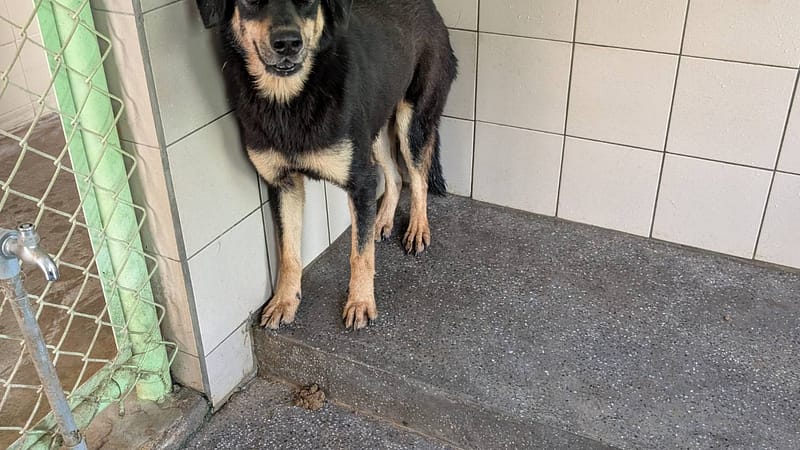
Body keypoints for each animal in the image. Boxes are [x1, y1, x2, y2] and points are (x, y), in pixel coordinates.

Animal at [195, 0, 457, 330]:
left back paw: (417, 228)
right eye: (251, 1)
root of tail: (431, 8)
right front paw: (285, 301)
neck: (289, 98)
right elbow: (289, 253)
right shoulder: (283, 185)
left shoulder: (360, 182)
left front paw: (360, 302)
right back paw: (382, 220)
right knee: (396, 176)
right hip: (373, 131)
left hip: (412, 120)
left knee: (418, 177)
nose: (288, 44)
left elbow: (360, 254)